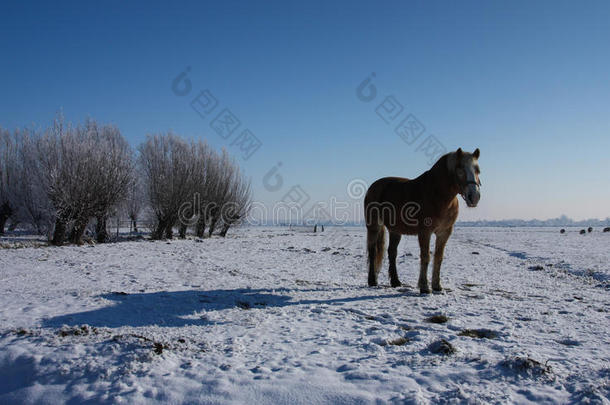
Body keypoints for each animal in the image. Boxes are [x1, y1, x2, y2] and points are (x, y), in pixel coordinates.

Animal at [360, 147, 480, 292]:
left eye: (477, 170)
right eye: (460, 168)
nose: (474, 197)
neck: (438, 195)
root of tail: (374, 186)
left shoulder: (444, 233)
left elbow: (438, 257)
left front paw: (437, 286)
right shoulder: (425, 232)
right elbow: (425, 257)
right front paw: (424, 287)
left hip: (395, 230)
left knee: (392, 252)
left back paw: (395, 282)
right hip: (374, 226)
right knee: (372, 251)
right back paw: (372, 280)